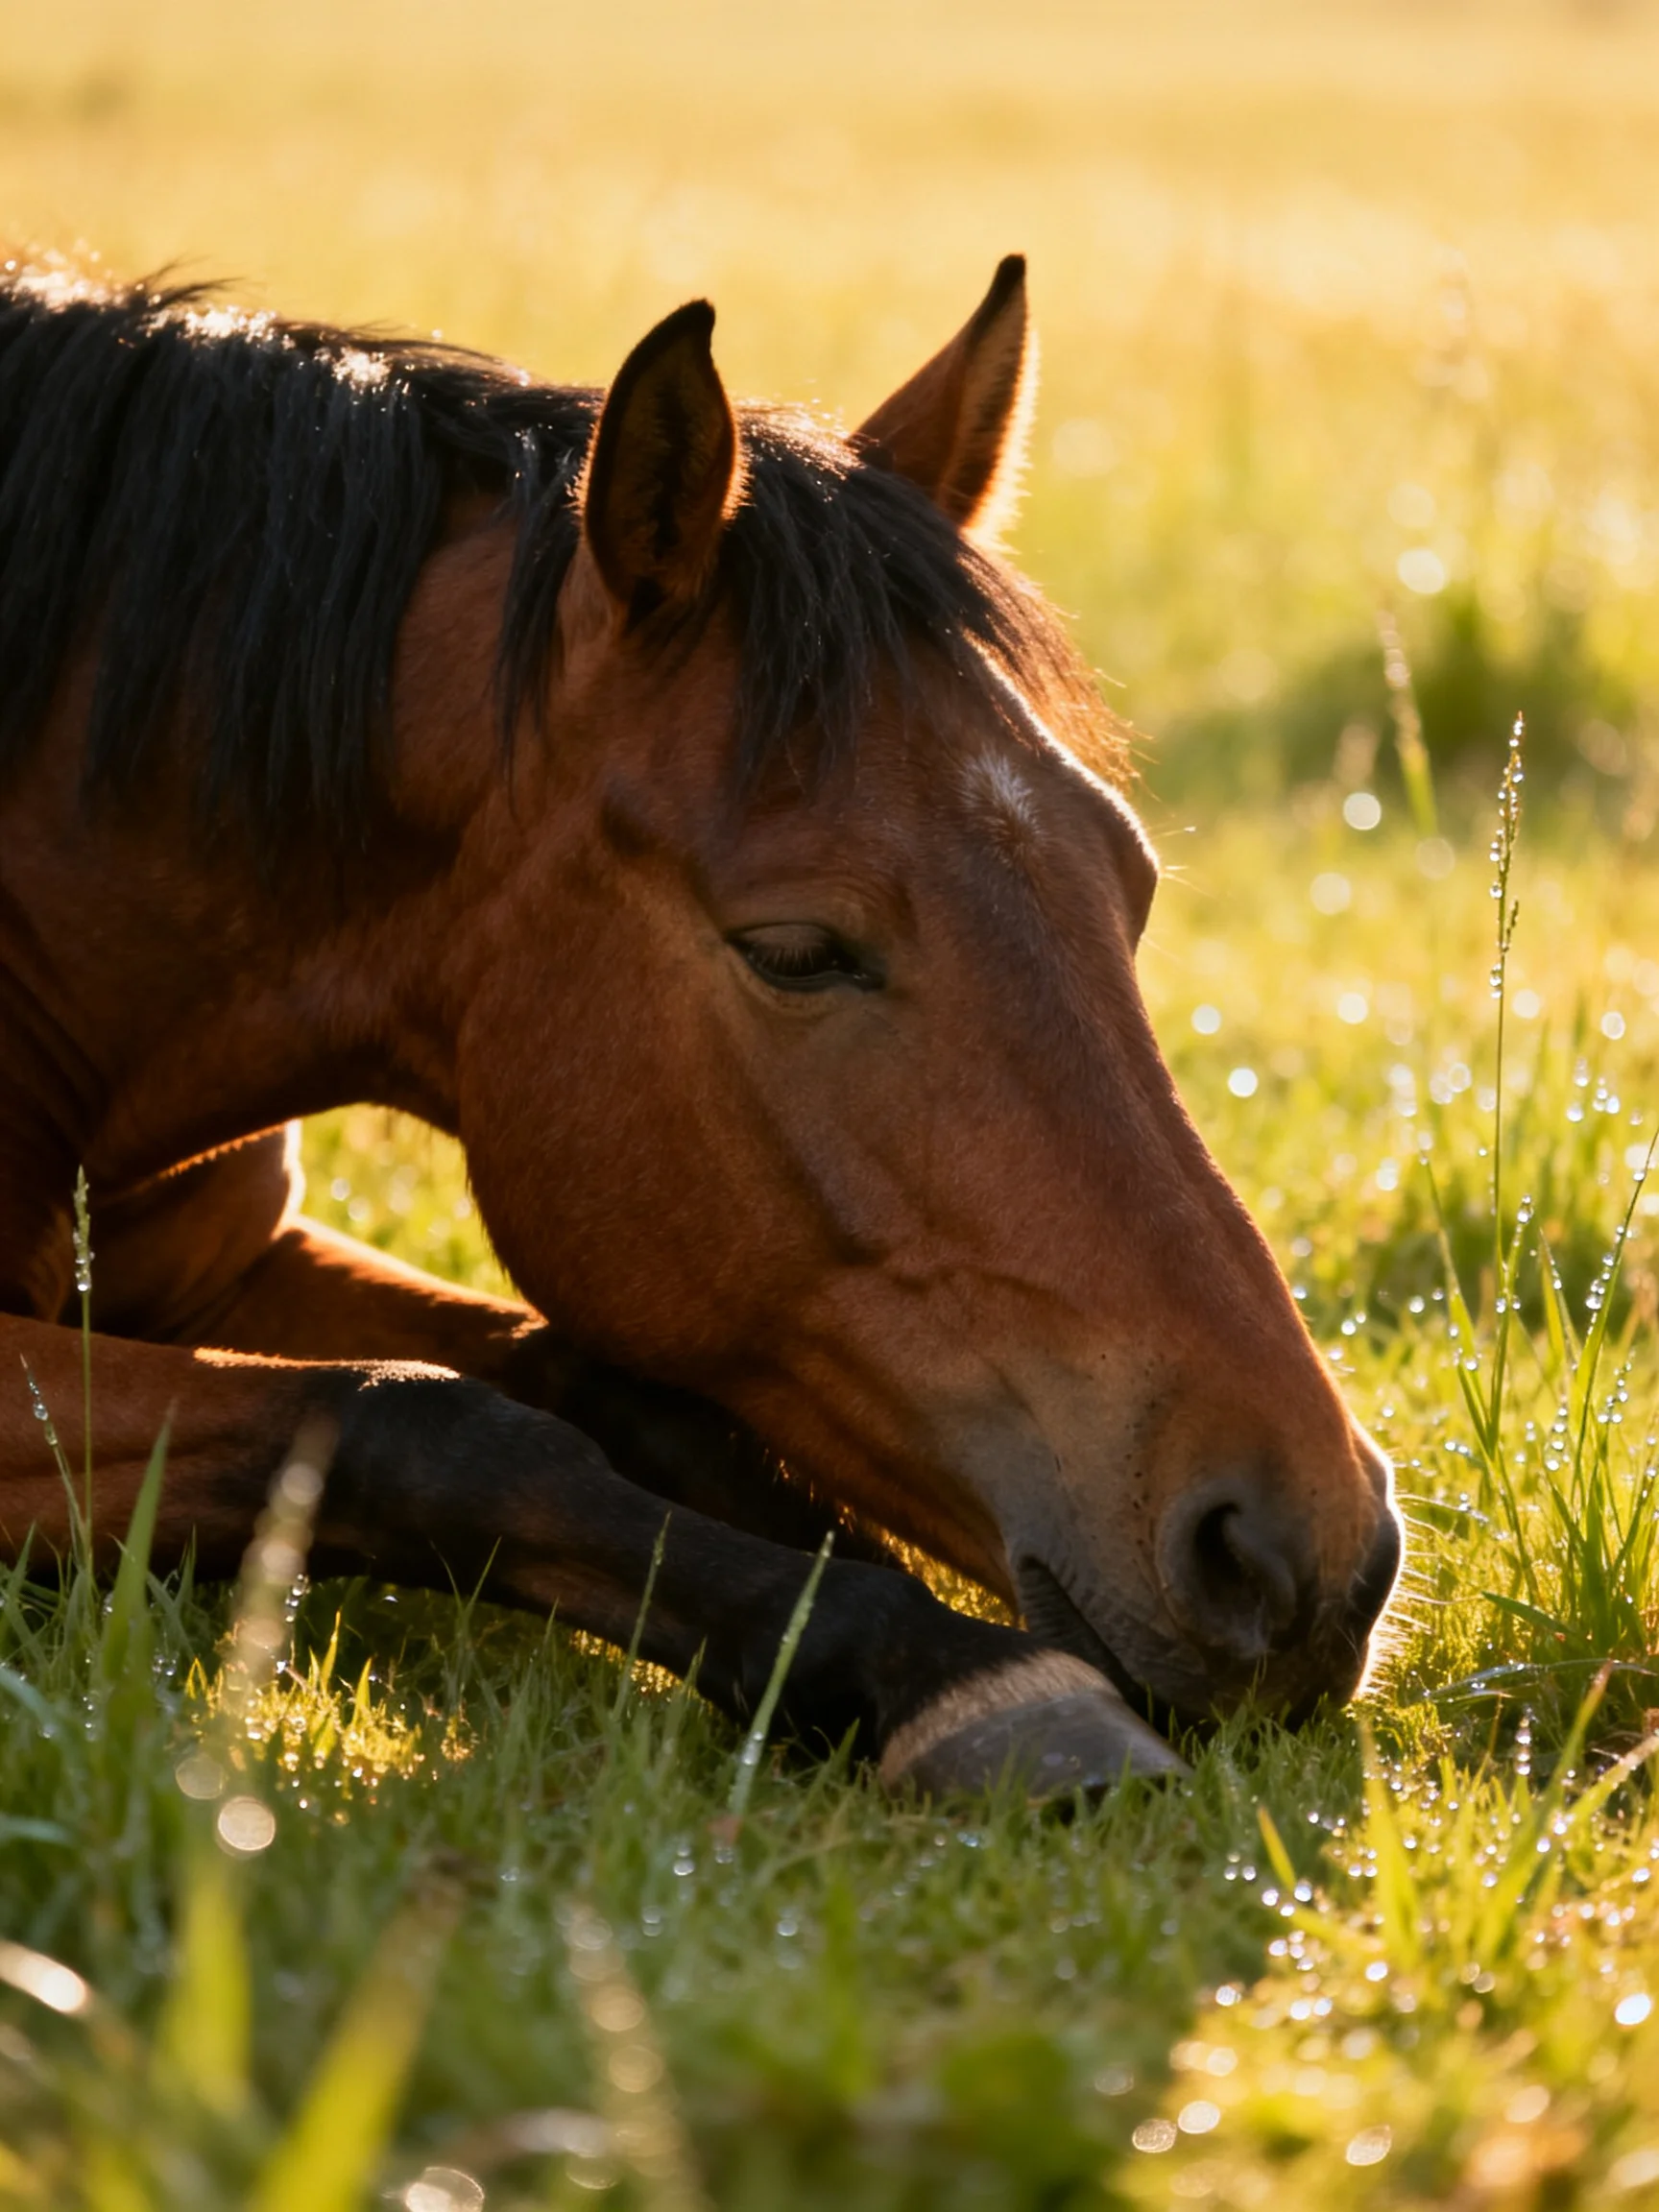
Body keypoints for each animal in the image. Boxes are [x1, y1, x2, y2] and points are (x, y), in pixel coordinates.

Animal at [0, 253, 1400, 1797]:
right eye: (795, 950)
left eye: (1132, 885)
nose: (1304, 1557)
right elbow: (428, 1423)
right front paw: (957, 1678)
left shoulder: (238, 1264)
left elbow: (617, 1388)